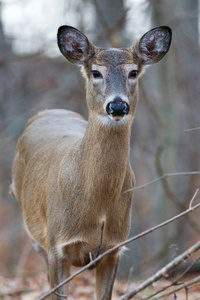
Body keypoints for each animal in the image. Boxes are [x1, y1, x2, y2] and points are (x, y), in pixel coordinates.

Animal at [9, 24, 172, 298]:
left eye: (133, 72)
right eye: (96, 72)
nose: (117, 106)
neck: (99, 207)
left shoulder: (114, 248)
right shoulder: (57, 245)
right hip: (35, 234)